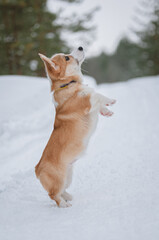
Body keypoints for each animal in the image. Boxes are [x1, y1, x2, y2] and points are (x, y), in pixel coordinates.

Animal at [35, 46, 116, 207]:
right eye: (67, 57)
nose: (80, 46)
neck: (67, 84)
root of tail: (37, 169)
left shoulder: (91, 104)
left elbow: (99, 103)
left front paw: (107, 111)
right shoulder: (87, 101)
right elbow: (98, 95)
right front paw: (110, 100)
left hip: (69, 175)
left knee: (61, 191)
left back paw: (69, 196)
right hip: (59, 179)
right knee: (53, 195)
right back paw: (64, 204)